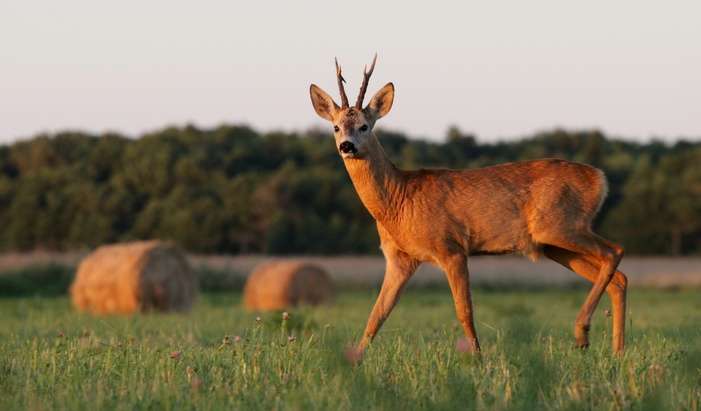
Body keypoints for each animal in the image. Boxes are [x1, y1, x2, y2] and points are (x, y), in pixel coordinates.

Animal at [308, 54, 628, 358]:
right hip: (554, 244)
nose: (347, 146)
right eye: (336, 127)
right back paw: (616, 352)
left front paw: (478, 360)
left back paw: (582, 333)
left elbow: (464, 311)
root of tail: (599, 178)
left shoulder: (451, 247)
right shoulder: (399, 258)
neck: (399, 200)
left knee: (615, 251)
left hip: (561, 225)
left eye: (364, 126)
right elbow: (376, 315)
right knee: (619, 277)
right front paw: (355, 360)